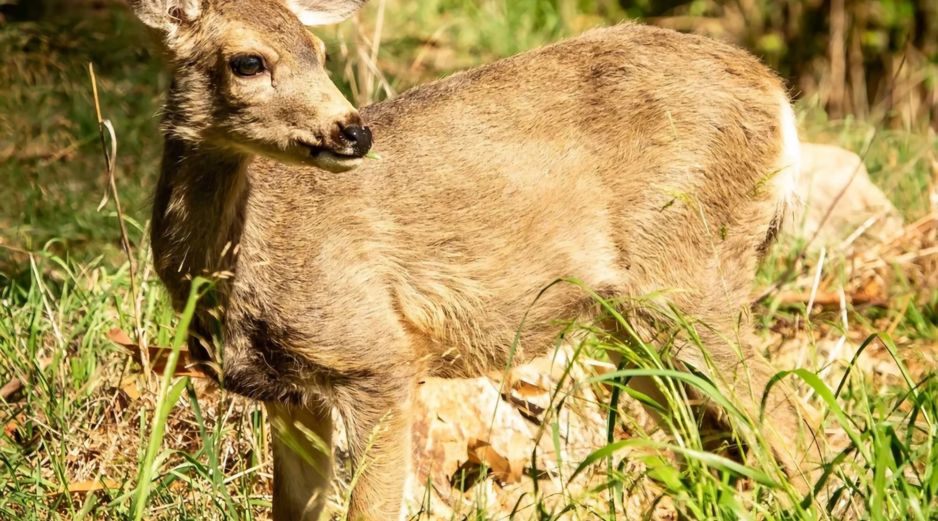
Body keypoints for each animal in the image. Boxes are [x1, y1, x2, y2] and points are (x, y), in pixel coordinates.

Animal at [129, 0, 813, 519]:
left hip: (691, 272)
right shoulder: (287, 394)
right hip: (631, 319)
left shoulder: (377, 356)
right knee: (713, 437)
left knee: (789, 421)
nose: (354, 132)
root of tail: (780, 99)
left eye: (319, 53)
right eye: (248, 61)